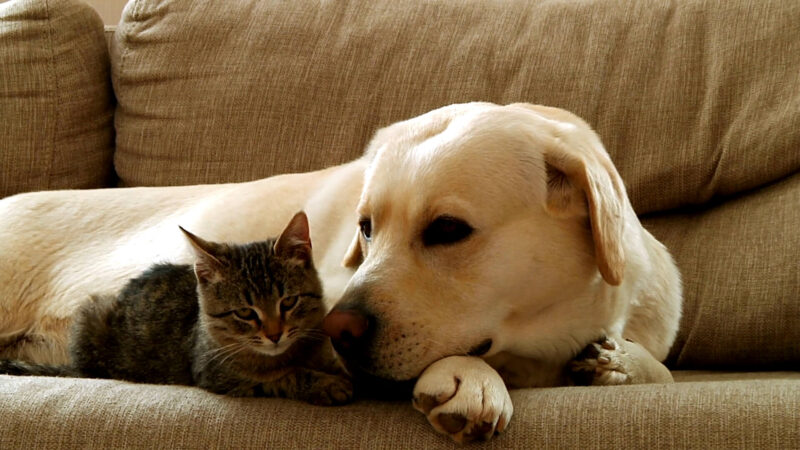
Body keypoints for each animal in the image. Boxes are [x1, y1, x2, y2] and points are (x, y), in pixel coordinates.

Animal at [0, 213, 350, 406]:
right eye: (245, 313)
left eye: (288, 302)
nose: (275, 334)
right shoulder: (218, 375)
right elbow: (284, 377)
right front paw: (325, 384)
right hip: (90, 313)